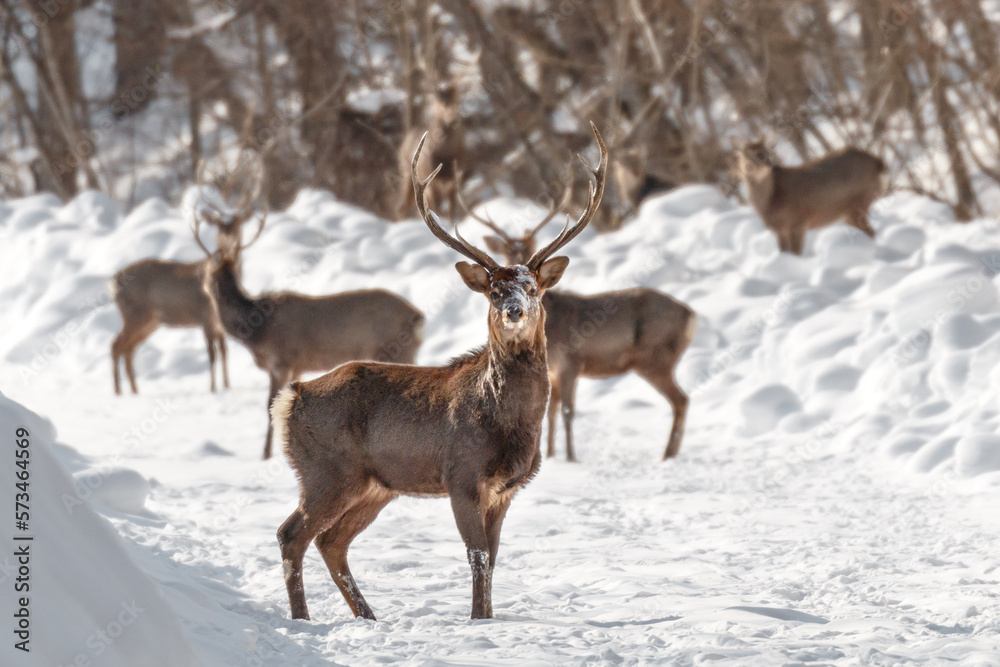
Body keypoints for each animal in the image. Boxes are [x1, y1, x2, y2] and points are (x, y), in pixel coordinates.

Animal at [108, 164, 264, 400]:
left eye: (237, 224)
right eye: (219, 226)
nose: (229, 241)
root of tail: (113, 281)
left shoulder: (218, 323)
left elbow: (224, 352)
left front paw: (227, 385)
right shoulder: (205, 317)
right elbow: (212, 354)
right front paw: (213, 388)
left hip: (150, 320)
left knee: (127, 348)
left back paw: (133, 391)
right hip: (134, 313)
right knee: (116, 345)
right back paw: (118, 392)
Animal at [270, 122, 604, 624]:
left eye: (532, 288)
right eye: (494, 290)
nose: (514, 310)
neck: (511, 423)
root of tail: (290, 397)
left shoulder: (505, 491)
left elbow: (494, 556)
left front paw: (487, 618)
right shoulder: (461, 476)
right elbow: (478, 556)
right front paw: (478, 621)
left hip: (375, 485)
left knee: (331, 541)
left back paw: (368, 617)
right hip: (325, 469)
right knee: (292, 534)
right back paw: (303, 619)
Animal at [394, 84, 464, 222]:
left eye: (456, 100)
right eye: (438, 101)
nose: (453, 118)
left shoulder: (453, 183)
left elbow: (451, 214)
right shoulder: (432, 186)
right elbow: (438, 211)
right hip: (406, 175)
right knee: (401, 207)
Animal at [460, 194, 696, 464]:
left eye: (530, 250)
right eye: (507, 252)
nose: (514, 305)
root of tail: (691, 316)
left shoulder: (571, 362)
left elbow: (567, 411)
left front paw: (571, 457)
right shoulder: (553, 371)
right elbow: (550, 412)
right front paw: (551, 454)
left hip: (656, 359)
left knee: (681, 400)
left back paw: (668, 454)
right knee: (681, 400)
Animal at [736, 142, 892, 256]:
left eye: (765, 153)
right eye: (749, 154)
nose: (768, 165)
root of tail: (878, 163)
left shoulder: (798, 222)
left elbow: (796, 252)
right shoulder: (779, 230)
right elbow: (784, 252)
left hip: (857, 205)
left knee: (870, 231)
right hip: (849, 212)